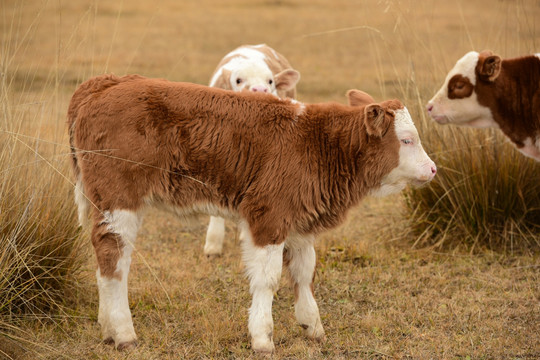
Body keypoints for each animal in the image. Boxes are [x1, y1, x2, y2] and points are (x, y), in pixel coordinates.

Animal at [68, 74, 438, 352]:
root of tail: (106, 83)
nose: (433, 169)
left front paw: (313, 326)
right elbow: (267, 279)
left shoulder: (300, 222)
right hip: (119, 199)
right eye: (407, 140)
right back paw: (124, 333)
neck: (316, 143)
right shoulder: (269, 216)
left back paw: (107, 328)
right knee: (114, 259)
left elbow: (304, 273)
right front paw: (262, 338)